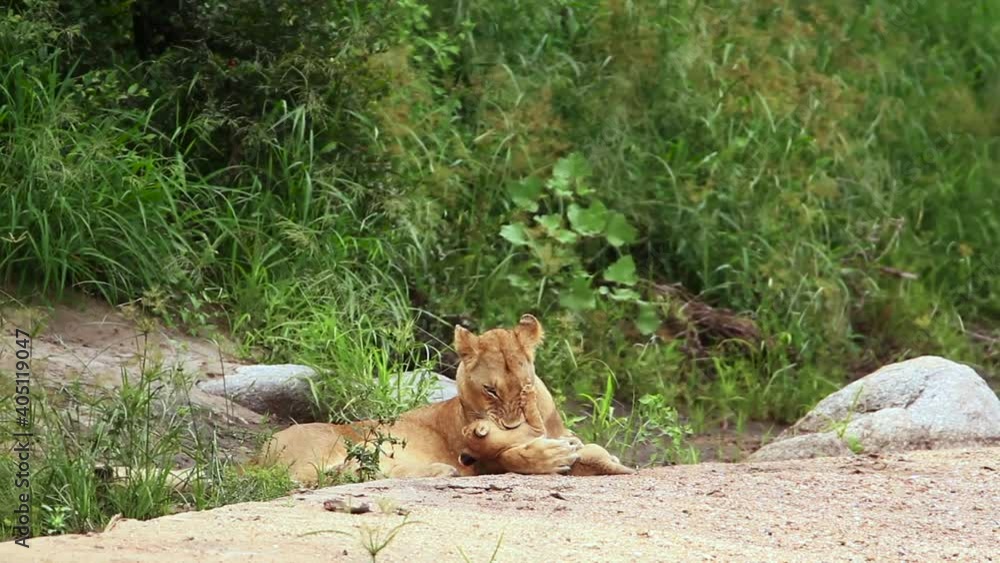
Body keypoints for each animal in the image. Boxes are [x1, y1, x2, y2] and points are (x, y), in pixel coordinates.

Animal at [259, 314, 632, 482]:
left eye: (525, 386)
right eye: (490, 390)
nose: (512, 426)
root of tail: (258, 455)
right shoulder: (483, 459)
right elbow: (510, 456)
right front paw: (551, 456)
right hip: (321, 451)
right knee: (332, 476)